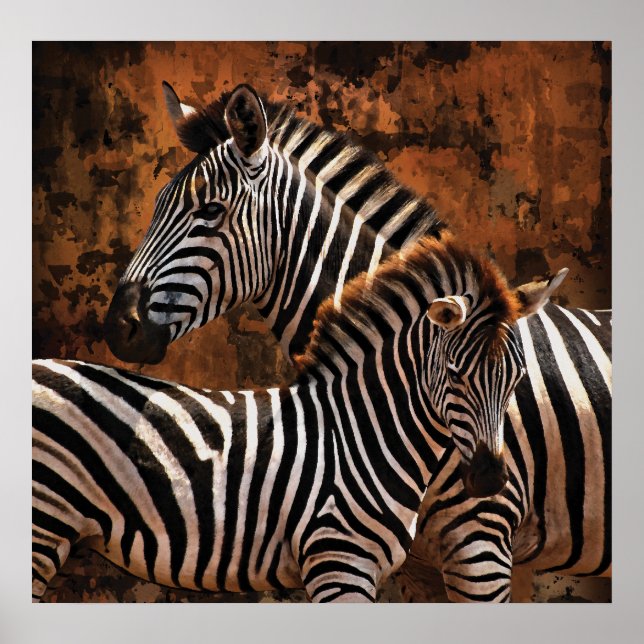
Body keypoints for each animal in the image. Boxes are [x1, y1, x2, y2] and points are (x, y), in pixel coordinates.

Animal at [32, 236, 561, 602]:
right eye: (454, 374)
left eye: (517, 376)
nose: (490, 478)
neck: (364, 433)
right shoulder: (339, 561)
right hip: (43, 526)